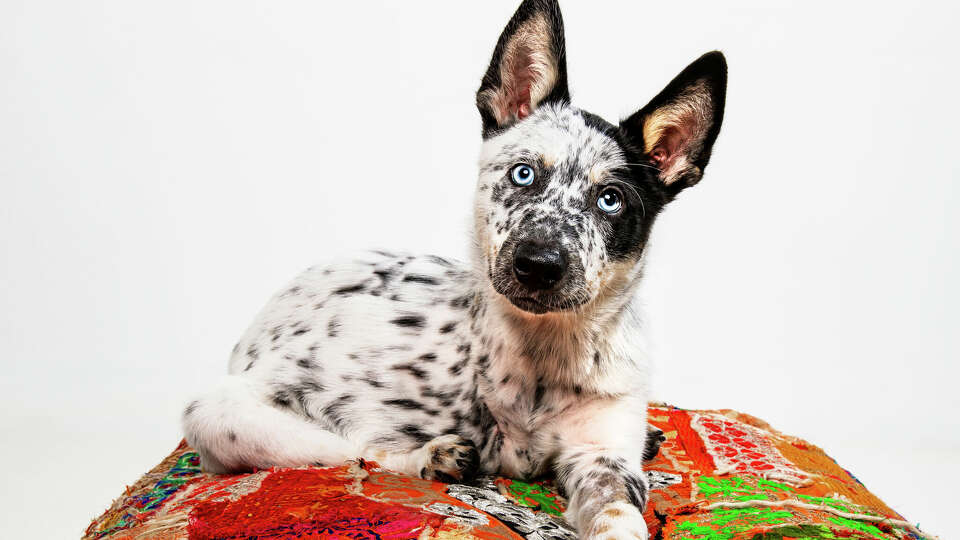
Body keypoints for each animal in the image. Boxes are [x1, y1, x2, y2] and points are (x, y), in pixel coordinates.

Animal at [184, 2, 728, 536]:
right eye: (524, 174)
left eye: (610, 200)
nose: (538, 265)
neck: (544, 353)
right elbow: (365, 454)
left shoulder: (604, 454)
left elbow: (617, 515)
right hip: (221, 414)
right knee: (357, 452)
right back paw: (432, 456)